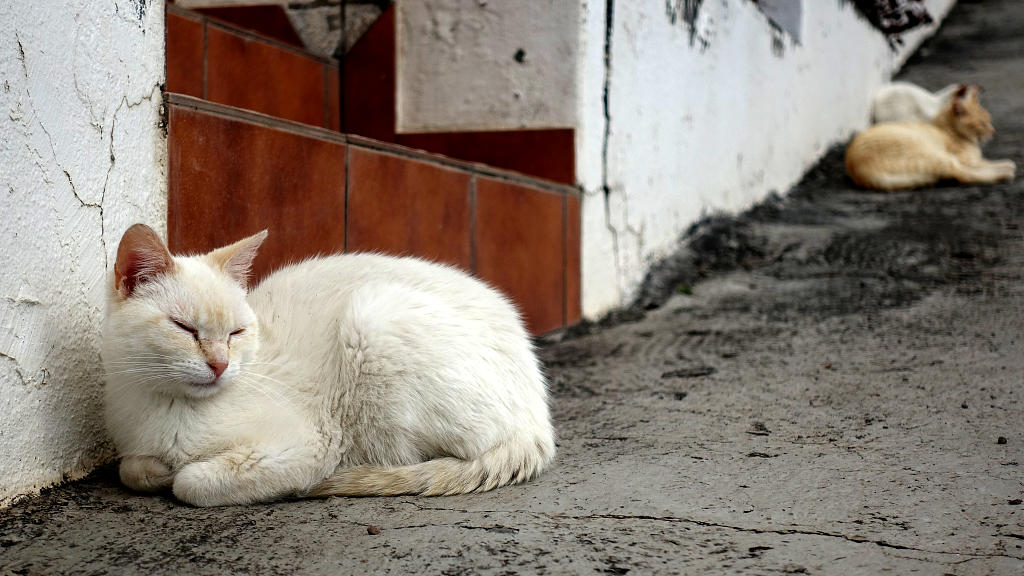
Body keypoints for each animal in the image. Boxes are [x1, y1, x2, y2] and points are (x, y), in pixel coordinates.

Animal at [99, 222, 557, 504]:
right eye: (185, 328)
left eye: (236, 333)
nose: (220, 365)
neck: (163, 409)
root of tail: (539, 423)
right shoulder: (132, 444)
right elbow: (131, 469)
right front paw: (155, 470)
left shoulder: (311, 445)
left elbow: (191, 482)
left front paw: (177, 475)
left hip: (375, 318)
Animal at [847, 83, 1015, 190]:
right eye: (982, 123)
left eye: (989, 120)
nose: (993, 131)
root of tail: (857, 170)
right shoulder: (964, 159)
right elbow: (980, 164)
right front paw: (1005, 166)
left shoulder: (972, 160)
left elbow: (986, 162)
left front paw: (1004, 163)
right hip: (933, 154)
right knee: (962, 175)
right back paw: (1004, 174)